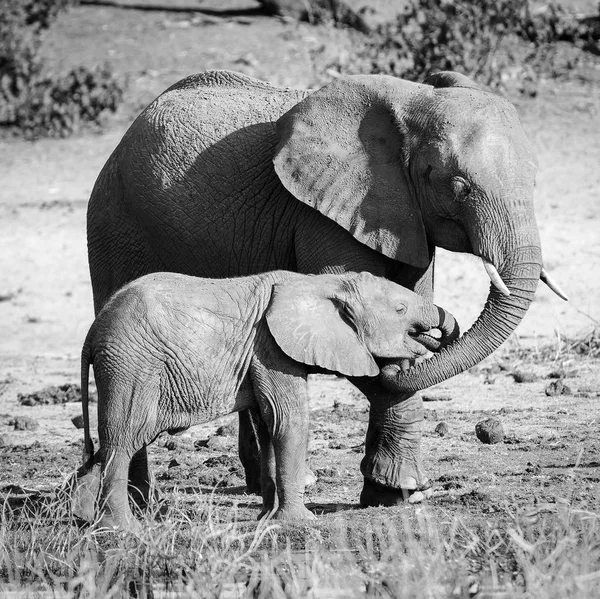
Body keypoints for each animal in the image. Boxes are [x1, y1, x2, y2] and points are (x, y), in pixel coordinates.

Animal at [76, 270, 460, 528]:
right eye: (400, 309)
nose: (434, 335)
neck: (324, 283)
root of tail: (91, 333)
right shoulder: (272, 348)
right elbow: (288, 419)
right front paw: (301, 522)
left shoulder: (263, 352)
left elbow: (268, 424)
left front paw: (267, 519)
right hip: (131, 366)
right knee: (124, 438)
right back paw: (122, 529)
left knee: (107, 447)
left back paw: (84, 518)